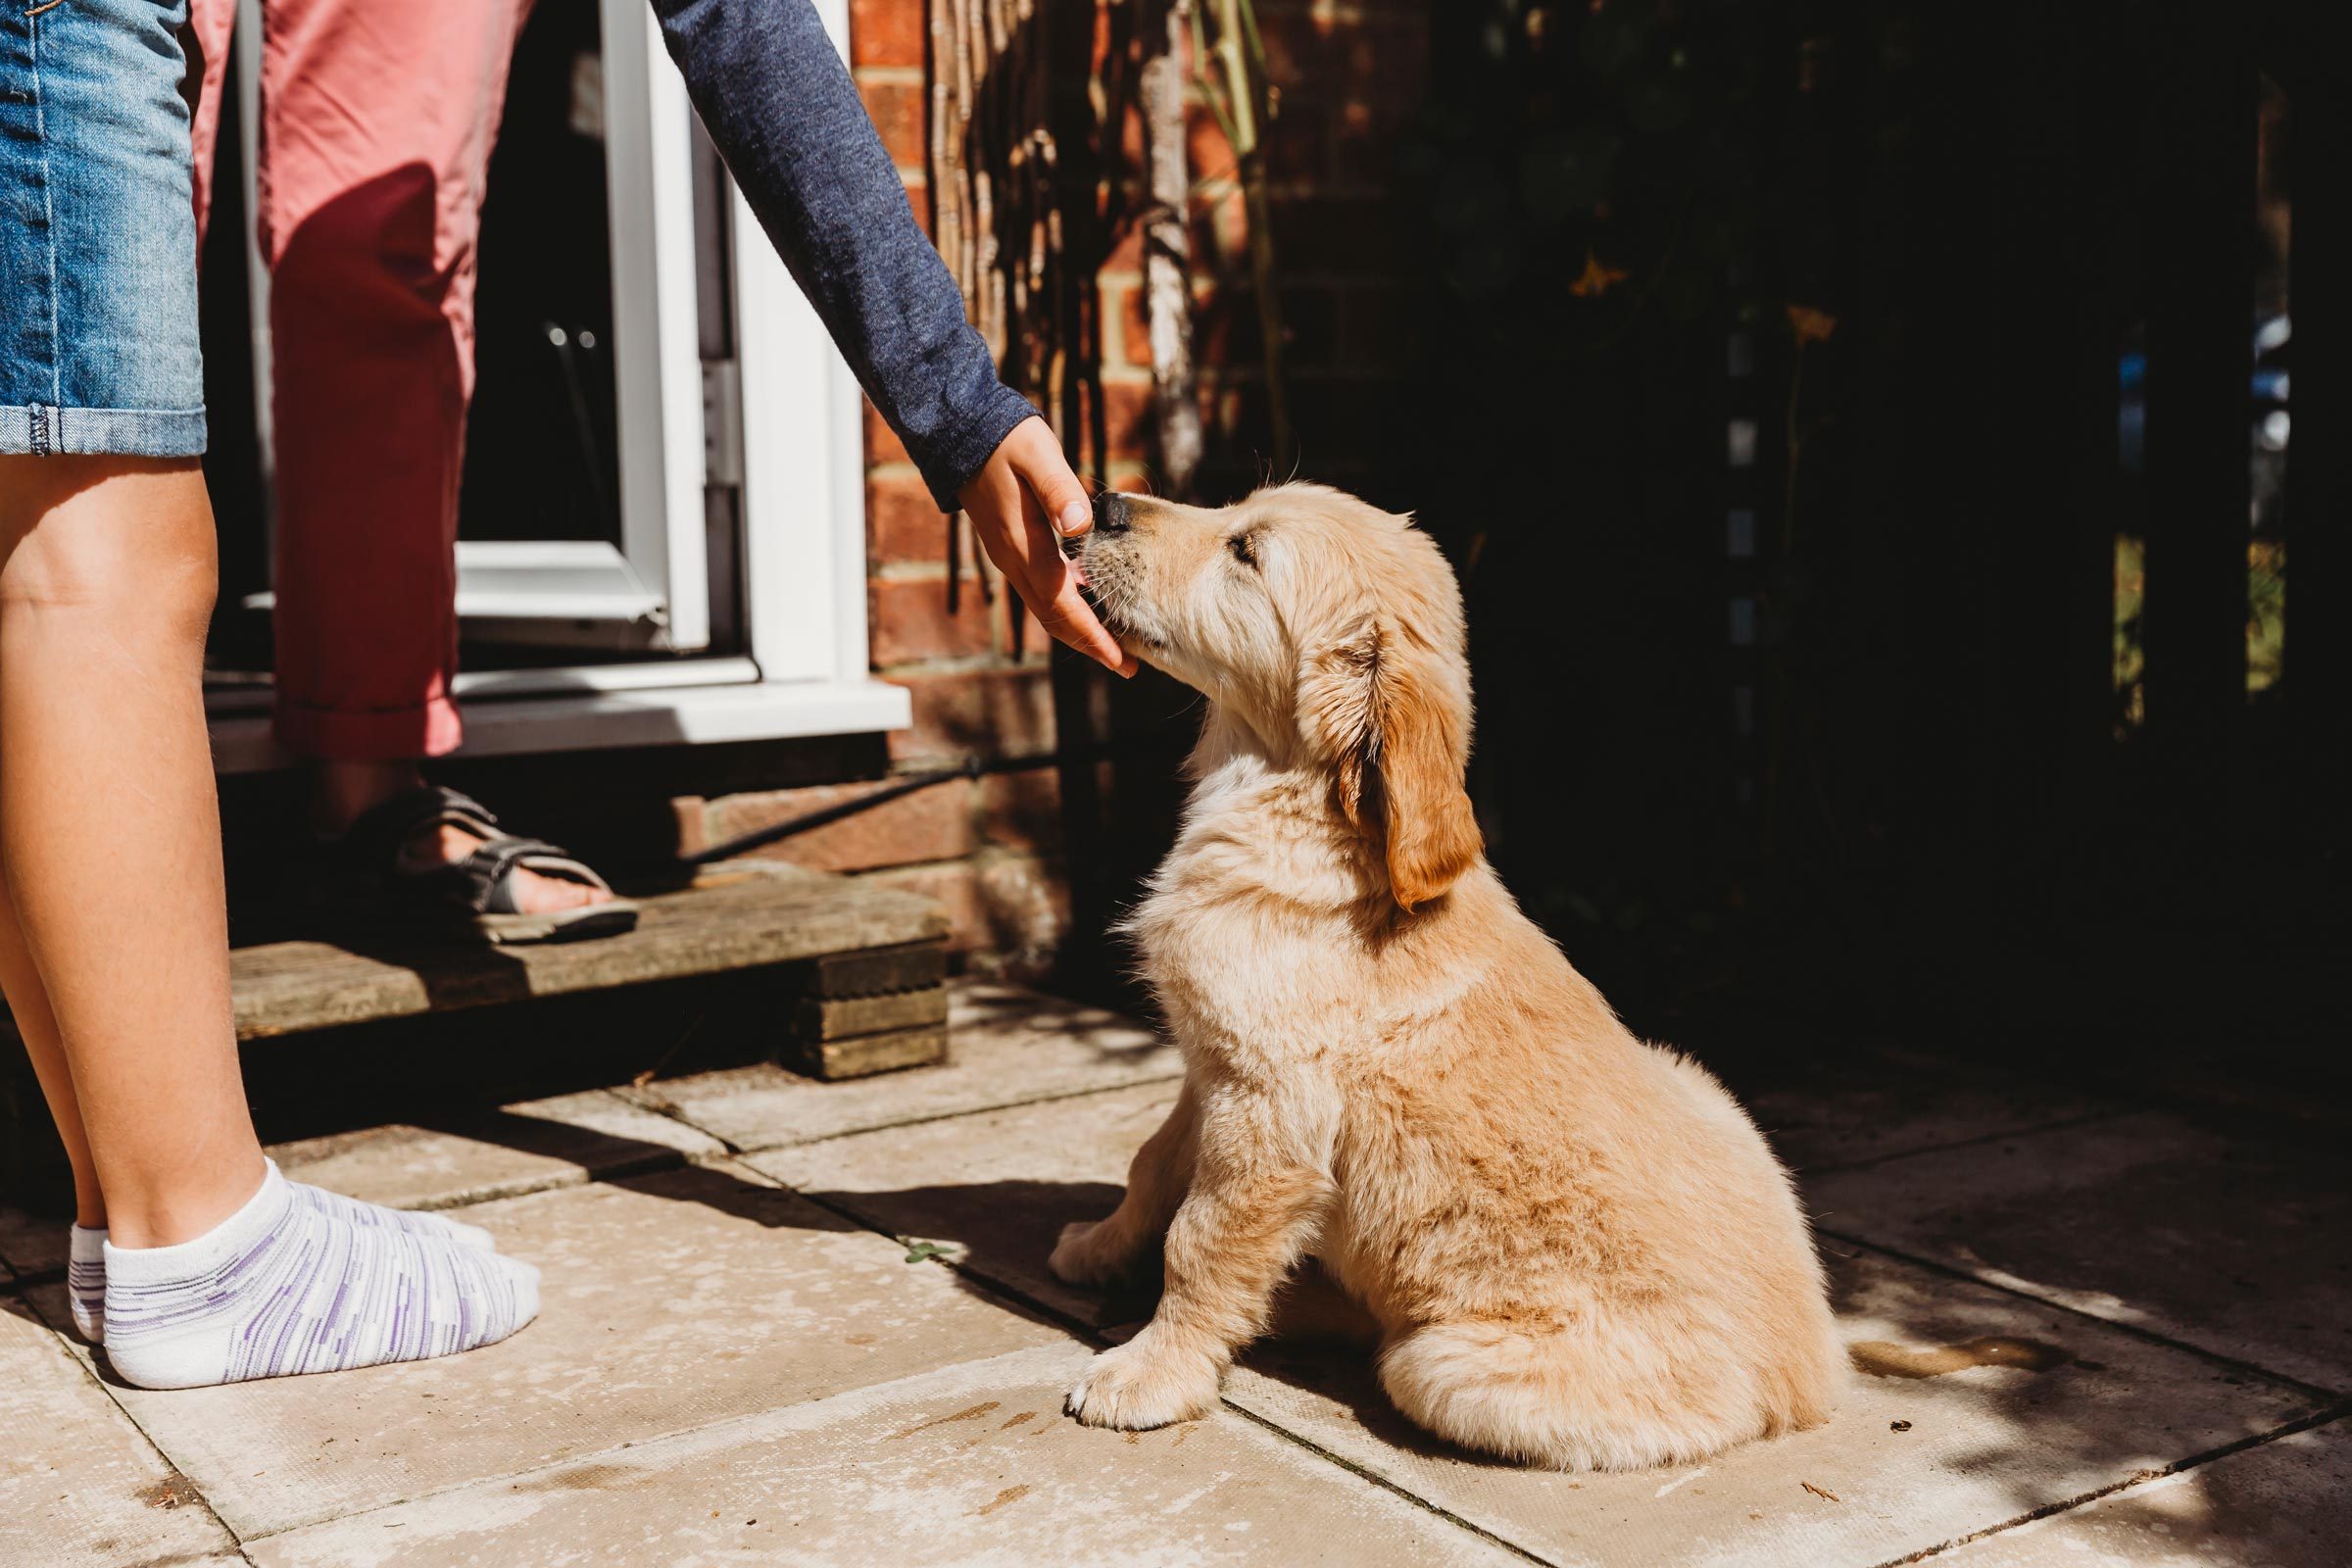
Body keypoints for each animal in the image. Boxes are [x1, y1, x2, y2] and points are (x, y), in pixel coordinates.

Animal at [1058, 486, 1843, 1476]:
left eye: (1246, 552)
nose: (1104, 505)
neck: (1291, 811)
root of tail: (1811, 1372)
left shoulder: (1267, 1106)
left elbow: (1200, 1241)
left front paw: (1149, 1372)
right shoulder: (1210, 1071)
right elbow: (1153, 1166)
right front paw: (1100, 1247)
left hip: (1443, 1368)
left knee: (1395, 1351)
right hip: (1699, 1082)